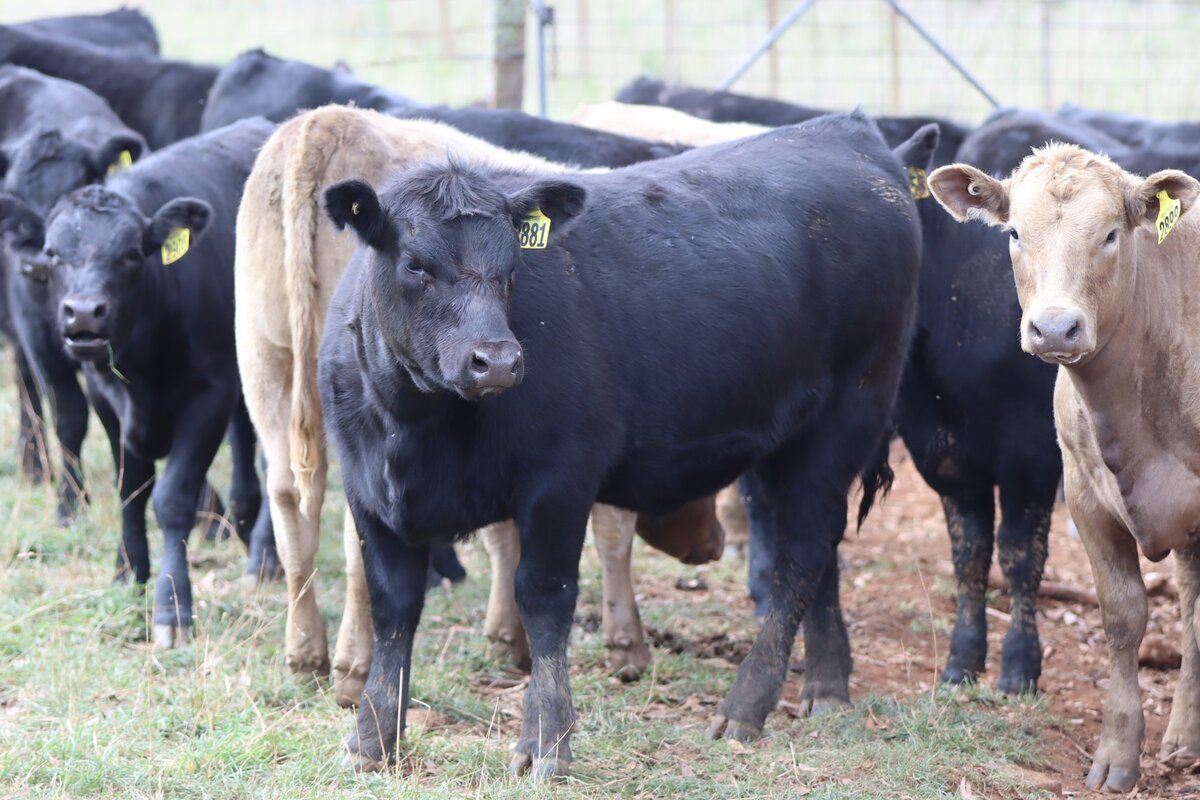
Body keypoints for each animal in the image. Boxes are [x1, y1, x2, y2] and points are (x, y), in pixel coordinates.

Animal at [0, 65, 147, 522]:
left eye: (72, 191)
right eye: (13, 195)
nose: (34, 261)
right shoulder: (40, 338)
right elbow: (70, 415)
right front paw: (70, 503)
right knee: (28, 391)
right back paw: (34, 466)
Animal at [2, 118, 278, 646]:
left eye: (131, 254)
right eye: (53, 252)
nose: (83, 314)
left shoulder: (208, 394)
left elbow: (171, 499)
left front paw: (172, 605)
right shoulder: (108, 400)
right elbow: (132, 488)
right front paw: (128, 569)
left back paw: (265, 556)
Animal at [235, 106, 721, 707]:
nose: (713, 545)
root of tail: (323, 123)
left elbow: (502, 532)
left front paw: (506, 637)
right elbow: (611, 534)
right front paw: (625, 643)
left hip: (265, 360)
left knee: (288, 504)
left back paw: (306, 653)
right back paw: (353, 665)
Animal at [316, 111, 921, 777]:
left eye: (511, 268)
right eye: (415, 265)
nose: (496, 361)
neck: (414, 430)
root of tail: (846, 131)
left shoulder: (560, 480)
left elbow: (543, 597)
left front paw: (546, 741)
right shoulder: (368, 493)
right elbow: (393, 607)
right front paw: (371, 738)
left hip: (849, 411)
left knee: (805, 551)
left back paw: (748, 704)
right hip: (786, 439)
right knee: (817, 549)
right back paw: (826, 684)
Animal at [930, 144, 1200, 793]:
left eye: (1110, 234)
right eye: (1013, 233)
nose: (1055, 327)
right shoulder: (1085, 497)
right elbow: (1123, 617)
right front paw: (1118, 754)